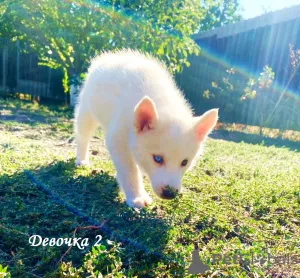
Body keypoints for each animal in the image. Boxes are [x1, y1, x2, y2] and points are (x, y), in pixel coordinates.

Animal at [74, 48, 217, 207]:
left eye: (185, 162)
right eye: (158, 159)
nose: (170, 194)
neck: (162, 103)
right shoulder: (119, 139)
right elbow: (129, 169)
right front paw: (137, 197)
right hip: (87, 111)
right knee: (83, 136)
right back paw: (82, 159)